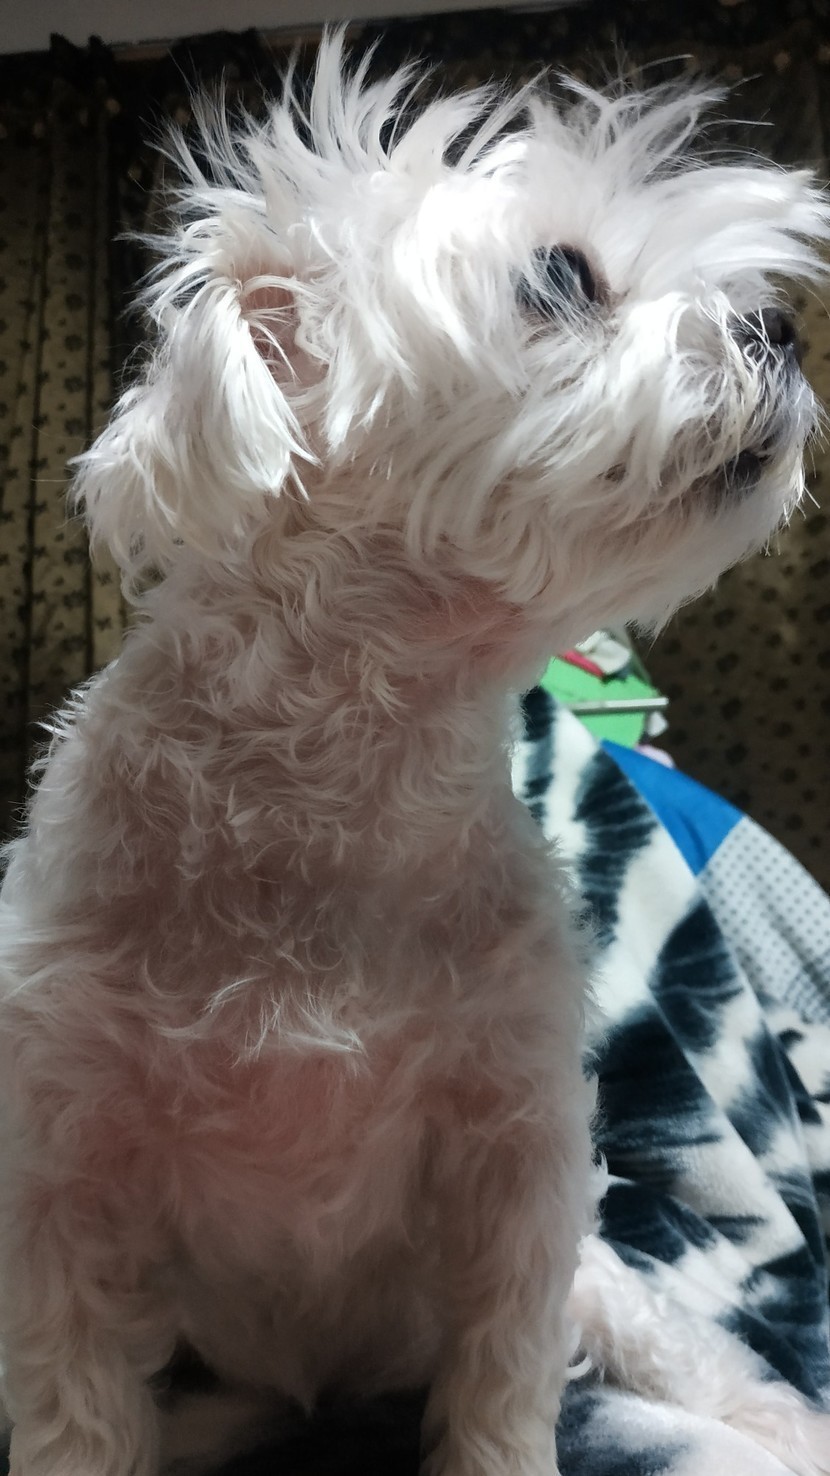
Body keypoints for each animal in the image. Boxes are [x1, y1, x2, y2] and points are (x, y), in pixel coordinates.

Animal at [0, 31, 828, 1476]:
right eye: (561, 276)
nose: (778, 327)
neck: (341, 774)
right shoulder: (62, 1167)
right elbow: (76, 1409)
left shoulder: (516, 1158)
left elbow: (501, 1387)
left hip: (601, 1281)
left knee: (674, 1347)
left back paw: (772, 1421)